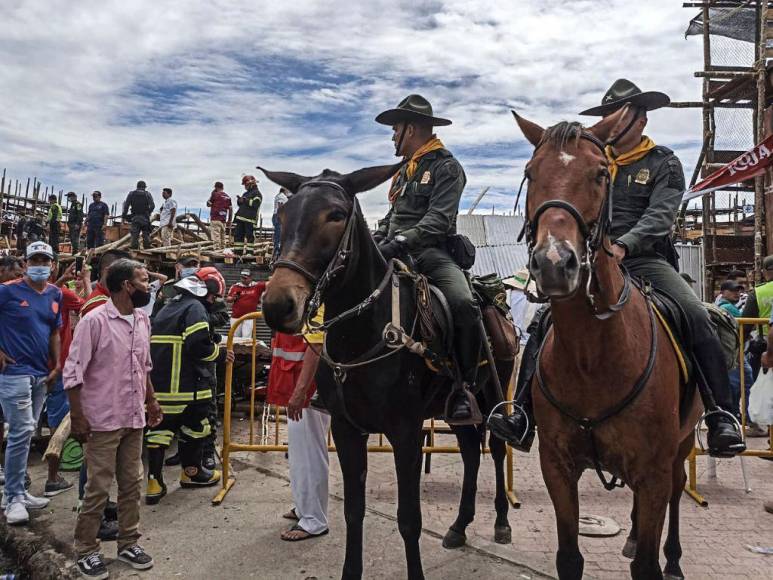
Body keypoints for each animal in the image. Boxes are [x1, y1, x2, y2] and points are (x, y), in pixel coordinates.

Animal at [258, 164, 512, 580]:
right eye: (282, 214)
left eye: (336, 215)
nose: (278, 305)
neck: (366, 331)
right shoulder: (347, 429)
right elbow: (352, 511)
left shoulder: (406, 432)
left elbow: (409, 519)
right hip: (457, 408)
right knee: (470, 452)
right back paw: (459, 527)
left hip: (493, 394)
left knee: (497, 449)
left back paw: (502, 522)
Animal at [512, 110, 700, 580]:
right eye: (531, 172)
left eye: (600, 173)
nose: (554, 263)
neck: (591, 358)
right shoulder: (557, 467)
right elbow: (569, 557)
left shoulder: (653, 471)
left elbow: (648, 565)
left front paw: (657, 557)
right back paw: (631, 537)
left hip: (682, 447)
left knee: (676, 491)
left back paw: (674, 558)